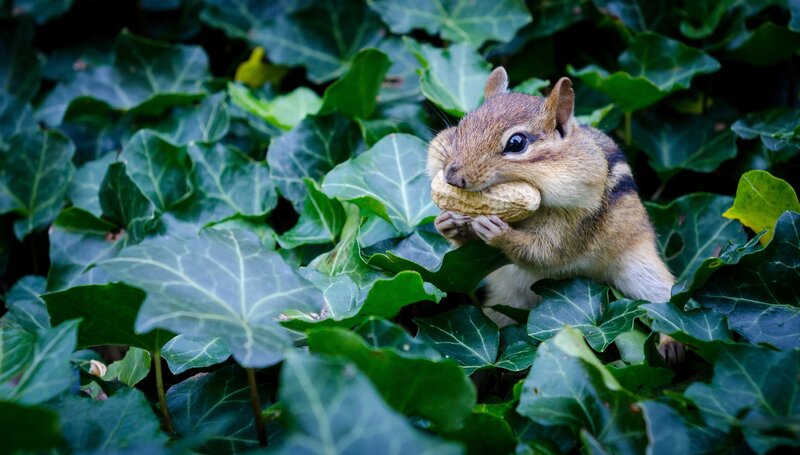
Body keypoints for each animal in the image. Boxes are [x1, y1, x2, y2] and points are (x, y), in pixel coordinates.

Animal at [427, 67, 685, 366]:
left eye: (516, 143)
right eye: (461, 127)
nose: (452, 176)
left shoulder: (575, 225)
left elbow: (546, 253)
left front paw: (499, 232)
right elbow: (470, 251)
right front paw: (447, 224)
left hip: (642, 271)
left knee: (665, 305)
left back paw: (672, 343)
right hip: (505, 303)